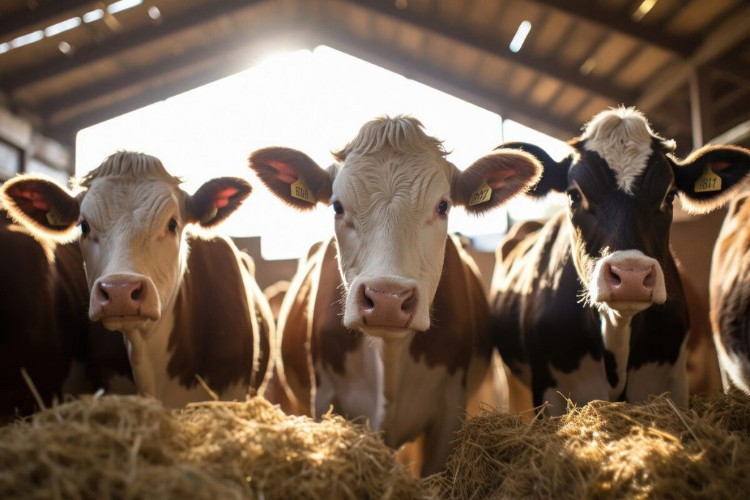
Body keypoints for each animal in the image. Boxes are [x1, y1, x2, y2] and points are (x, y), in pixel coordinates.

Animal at [491, 106, 750, 416]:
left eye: (669, 196)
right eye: (574, 195)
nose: (631, 276)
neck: (617, 330)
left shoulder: (670, 379)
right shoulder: (551, 389)